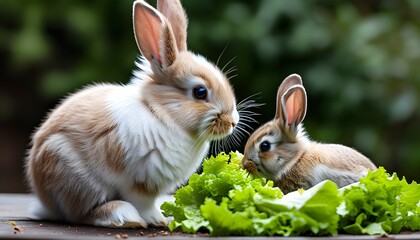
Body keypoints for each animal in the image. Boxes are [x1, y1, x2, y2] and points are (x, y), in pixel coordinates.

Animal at [27, 0, 240, 228]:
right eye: (200, 92)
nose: (233, 122)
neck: (160, 113)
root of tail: (44, 202)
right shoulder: (141, 183)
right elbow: (144, 204)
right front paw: (157, 219)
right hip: (76, 180)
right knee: (80, 214)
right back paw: (123, 216)